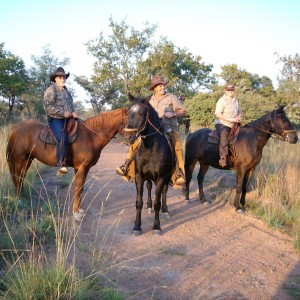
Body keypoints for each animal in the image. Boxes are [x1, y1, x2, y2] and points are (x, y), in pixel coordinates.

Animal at [124, 94, 175, 234]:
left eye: (141, 113)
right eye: (128, 112)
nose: (129, 137)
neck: (151, 149)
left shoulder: (161, 177)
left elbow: (158, 202)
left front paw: (157, 226)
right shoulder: (139, 177)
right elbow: (138, 202)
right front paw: (137, 226)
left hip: (166, 176)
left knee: (164, 191)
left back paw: (165, 210)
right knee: (149, 187)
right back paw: (149, 206)